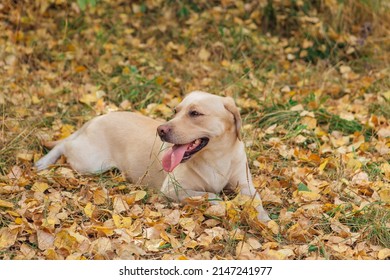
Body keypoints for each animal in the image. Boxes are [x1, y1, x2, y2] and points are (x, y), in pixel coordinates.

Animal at [35, 91, 270, 222]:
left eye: (195, 113)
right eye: (176, 111)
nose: (161, 130)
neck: (216, 157)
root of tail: (96, 118)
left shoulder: (246, 185)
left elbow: (256, 200)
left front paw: (265, 219)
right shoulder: (174, 189)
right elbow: (212, 195)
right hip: (90, 163)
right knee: (64, 145)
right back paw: (44, 161)